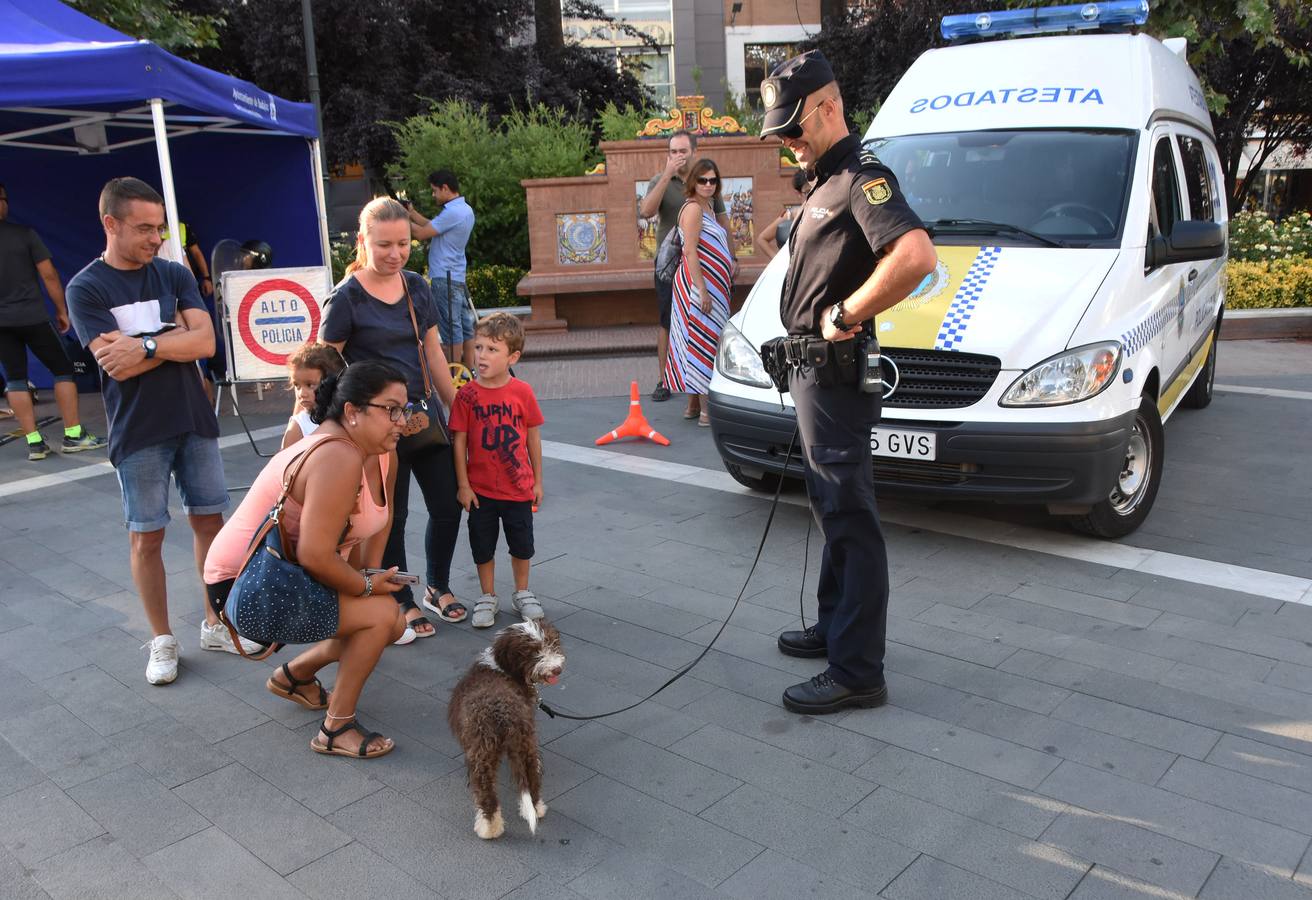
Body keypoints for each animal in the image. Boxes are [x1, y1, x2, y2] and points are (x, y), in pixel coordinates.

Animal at [446, 619, 564, 839]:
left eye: (551, 643)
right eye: (534, 652)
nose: (556, 669)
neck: (501, 668)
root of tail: (504, 713)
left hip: (482, 751)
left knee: (486, 790)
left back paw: (488, 828)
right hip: (526, 743)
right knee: (532, 778)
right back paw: (536, 809)